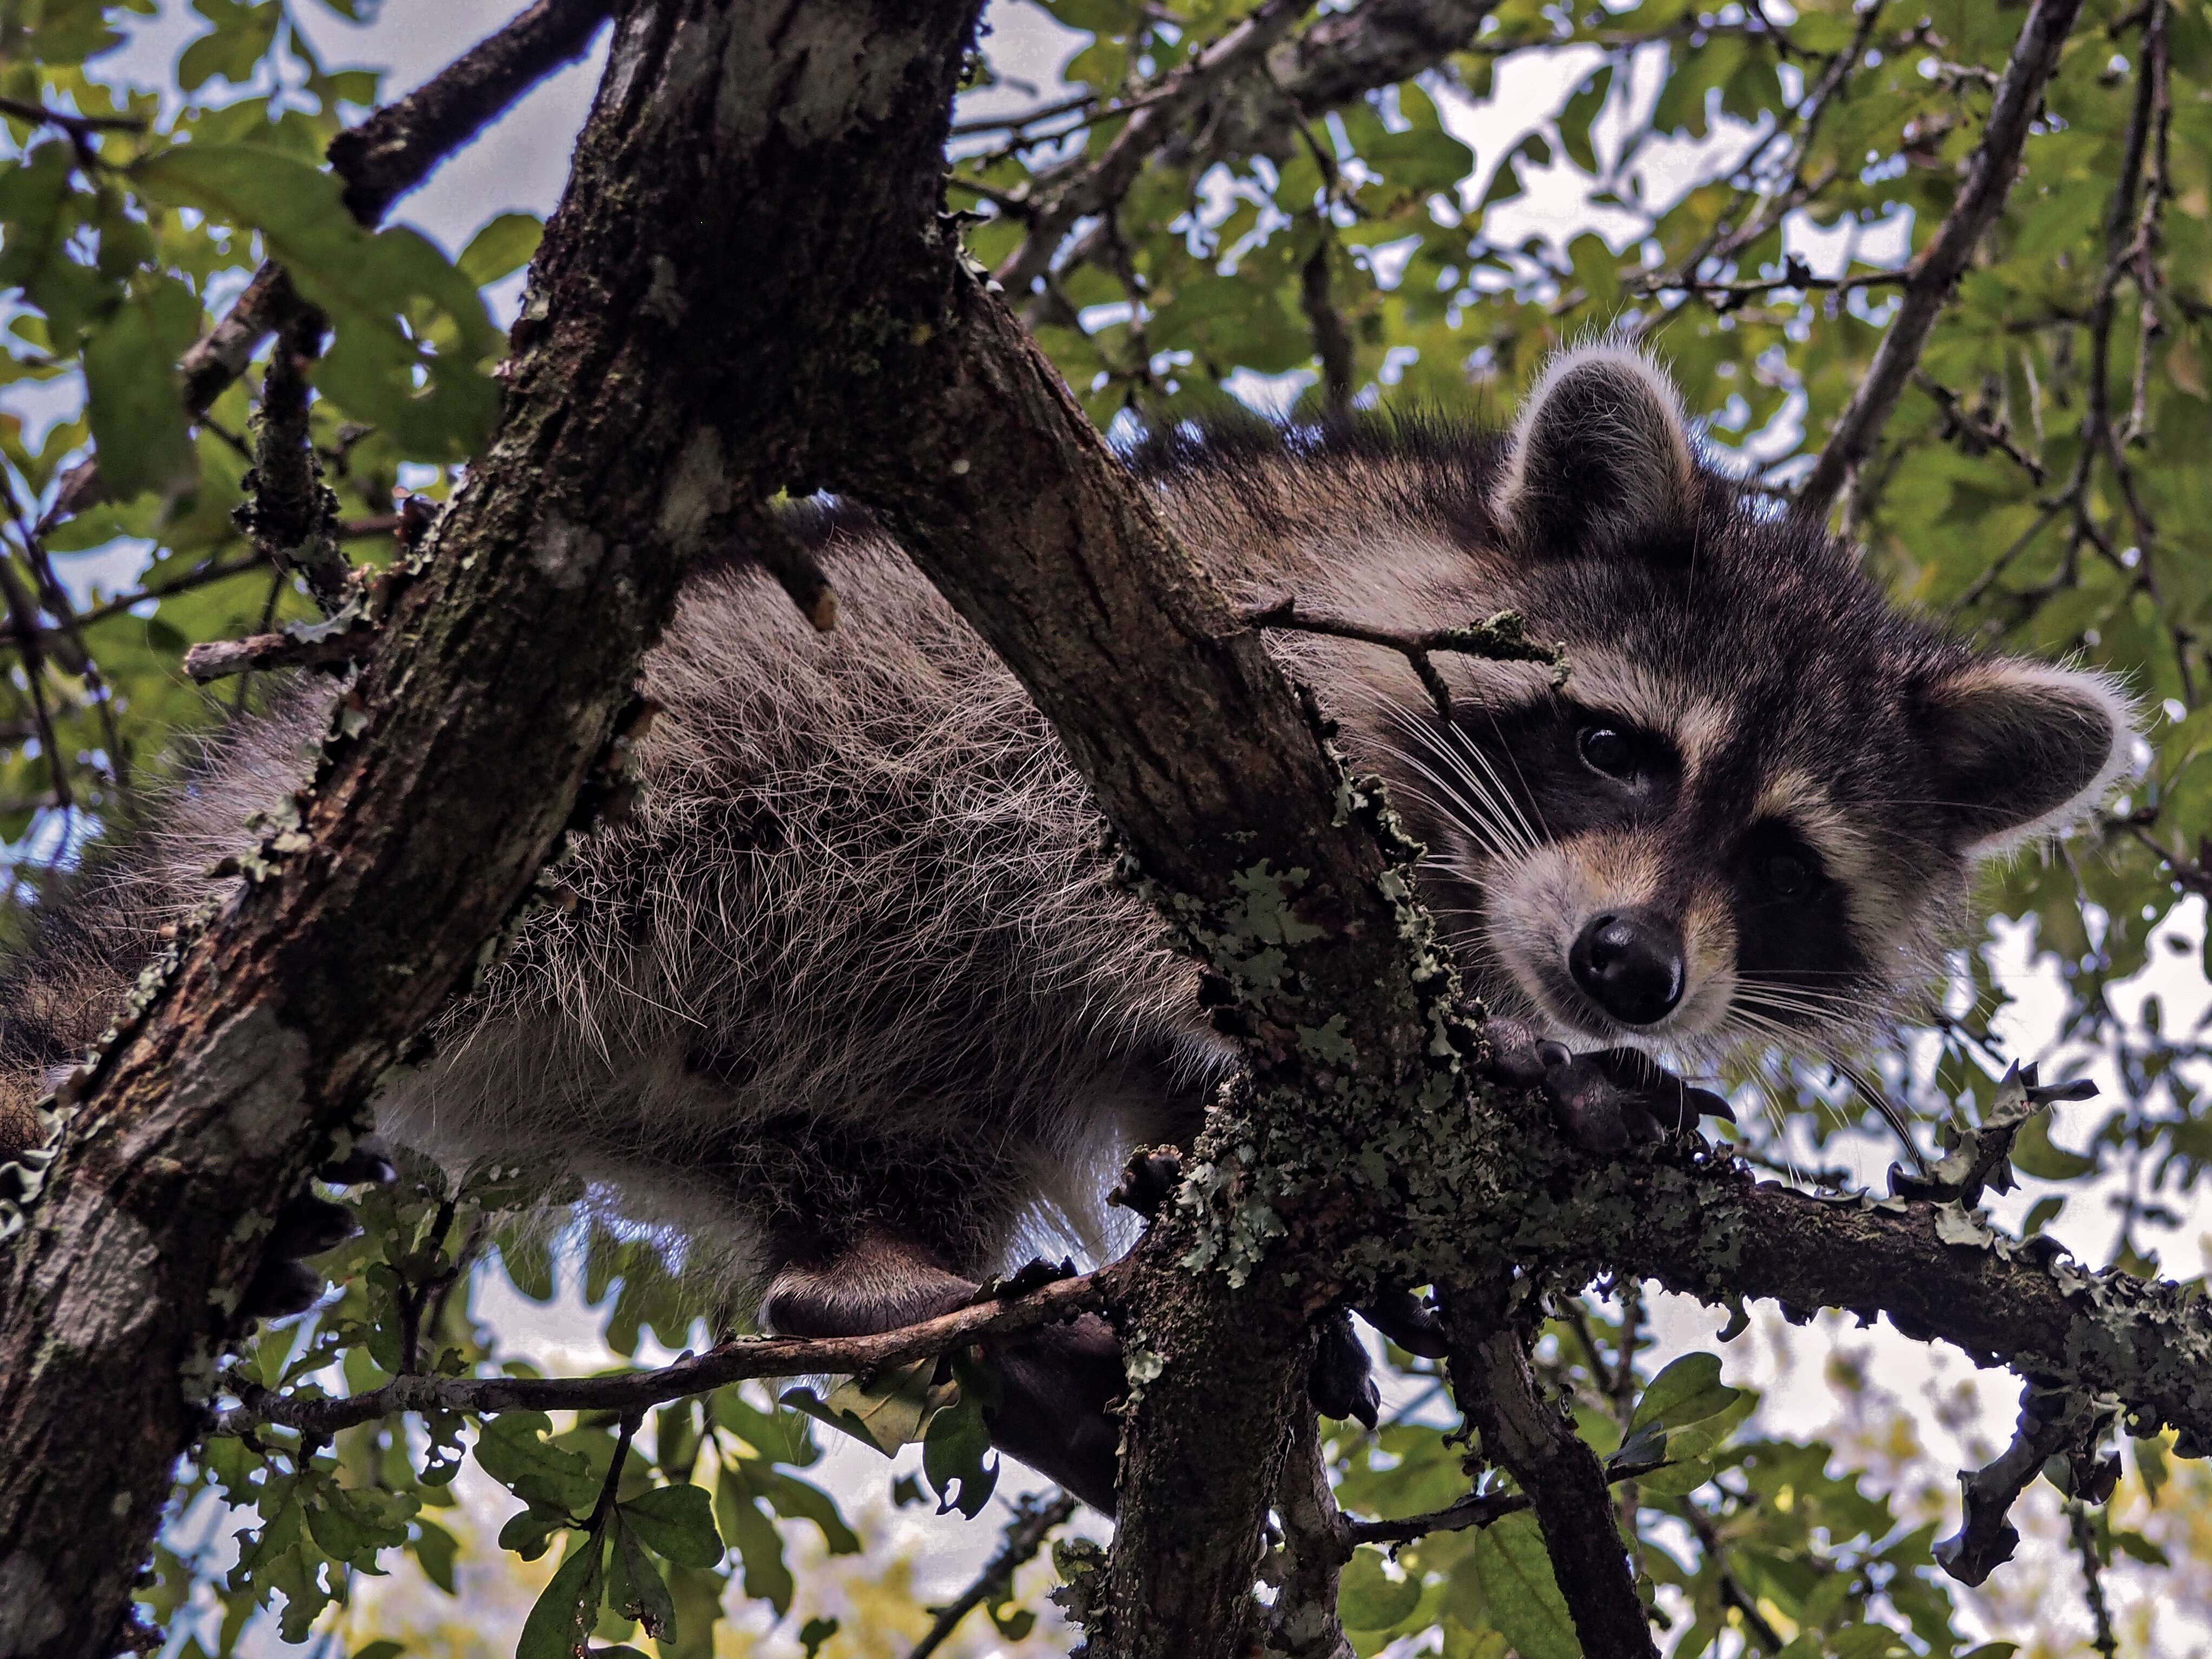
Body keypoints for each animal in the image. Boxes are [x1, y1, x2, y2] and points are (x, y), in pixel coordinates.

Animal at [0, 345, 2132, 1513]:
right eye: (1612, 744)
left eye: (1773, 857)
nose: (1626, 970)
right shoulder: (1206, 656)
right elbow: (1128, 892)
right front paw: (1520, 1064)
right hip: (614, 782)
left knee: (866, 1143)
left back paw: (868, 1274)